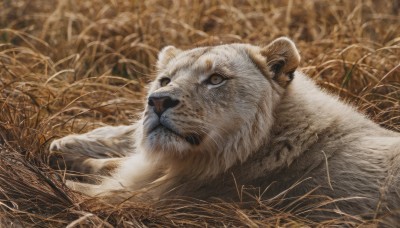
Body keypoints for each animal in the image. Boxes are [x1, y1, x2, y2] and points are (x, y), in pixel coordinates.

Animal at [50, 37, 400, 223]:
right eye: (165, 79)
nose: (158, 101)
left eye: (216, 79)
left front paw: (53, 176)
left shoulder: (156, 201)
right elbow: (114, 161)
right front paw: (63, 149)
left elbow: (81, 192)